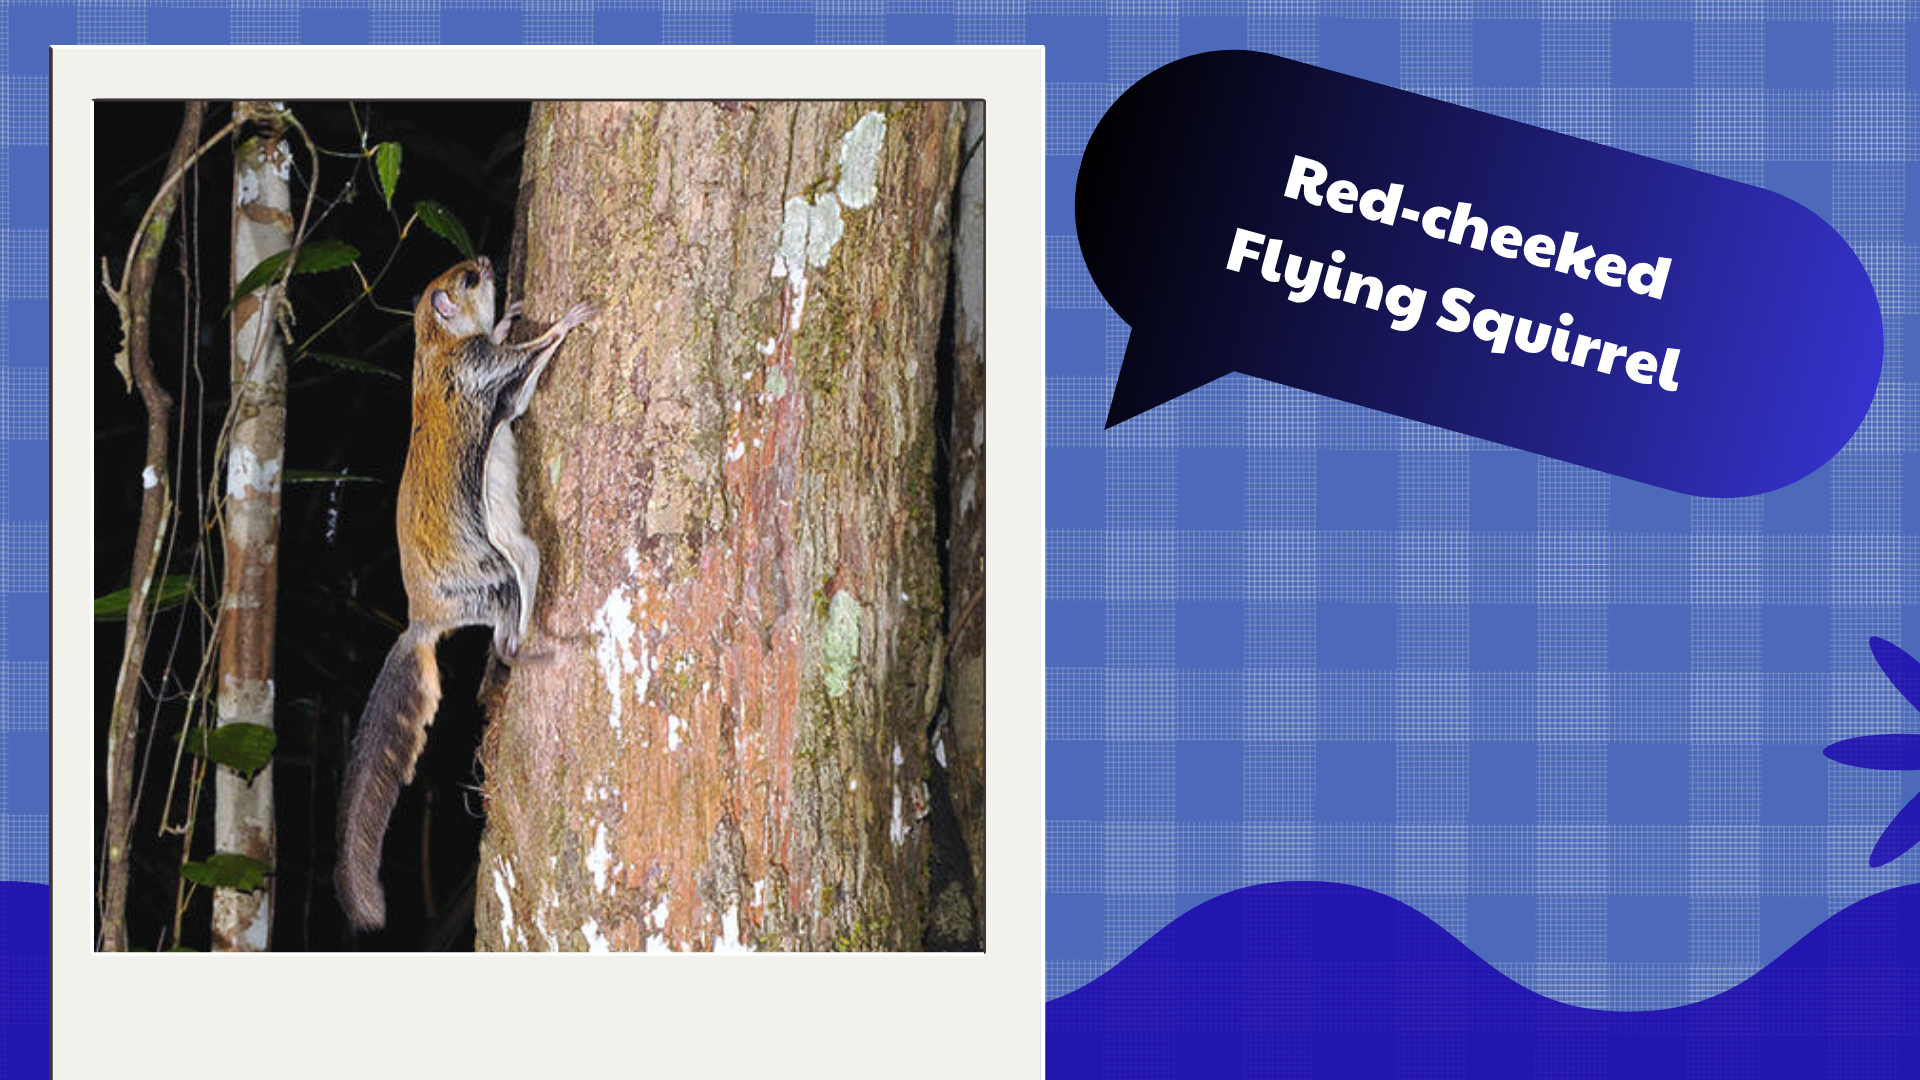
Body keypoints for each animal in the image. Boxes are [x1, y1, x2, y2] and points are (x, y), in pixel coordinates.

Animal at [336, 255, 597, 931]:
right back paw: (540, 652)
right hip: (495, 579)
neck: (436, 345)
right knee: (506, 638)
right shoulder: (486, 371)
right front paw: (566, 320)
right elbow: (529, 361)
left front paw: (512, 315)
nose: (482, 260)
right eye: (468, 280)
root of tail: (422, 618)